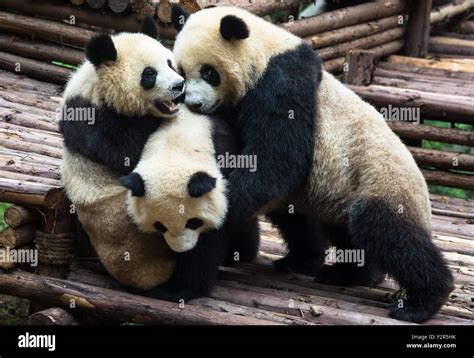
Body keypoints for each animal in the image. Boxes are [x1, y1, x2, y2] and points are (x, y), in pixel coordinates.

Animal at [60, 17, 260, 302]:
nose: (179, 86)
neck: (95, 86)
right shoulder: (90, 117)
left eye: (169, 63)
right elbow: (128, 148)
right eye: (149, 74)